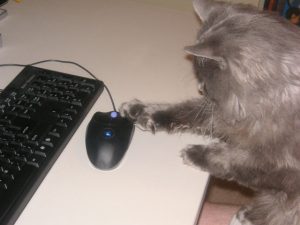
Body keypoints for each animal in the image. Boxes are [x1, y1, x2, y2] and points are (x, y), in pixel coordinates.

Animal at [119, 0, 300, 225]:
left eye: (204, 77)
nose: (200, 88)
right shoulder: (224, 113)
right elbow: (183, 111)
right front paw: (141, 111)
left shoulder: (282, 165)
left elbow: (235, 160)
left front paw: (195, 154)